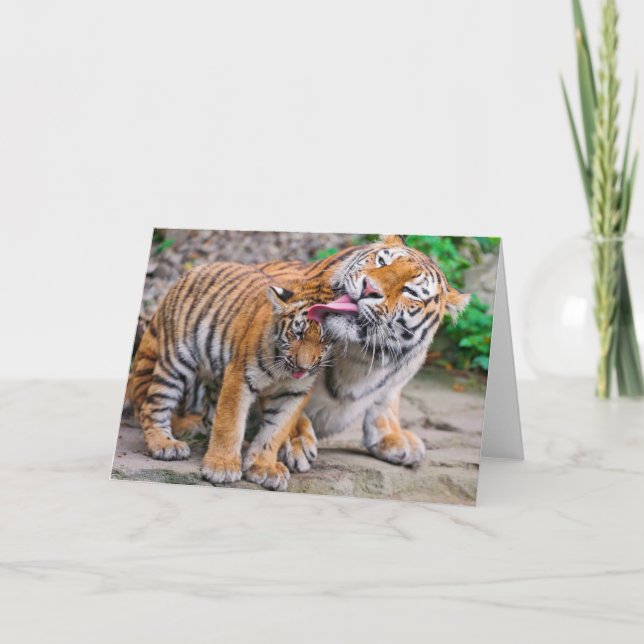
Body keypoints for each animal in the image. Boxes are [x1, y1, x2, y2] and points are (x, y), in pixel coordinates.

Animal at [127, 261, 345, 491]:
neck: (283, 371)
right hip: (176, 362)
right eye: (297, 334)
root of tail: (195, 269)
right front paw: (221, 467)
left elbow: (275, 431)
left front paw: (263, 466)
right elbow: (230, 423)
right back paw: (165, 445)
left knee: (209, 417)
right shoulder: (241, 376)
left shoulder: (294, 393)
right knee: (152, 405)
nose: (303, 367)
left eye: (324, 340)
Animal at [259, 234, 471, 472]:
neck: (360, 354)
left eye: (411, 291)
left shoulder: (399, 374)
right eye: (382, 261)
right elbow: (286, 401)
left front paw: (393, 436)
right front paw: (295, 441)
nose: (369, 288)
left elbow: (386, 400)